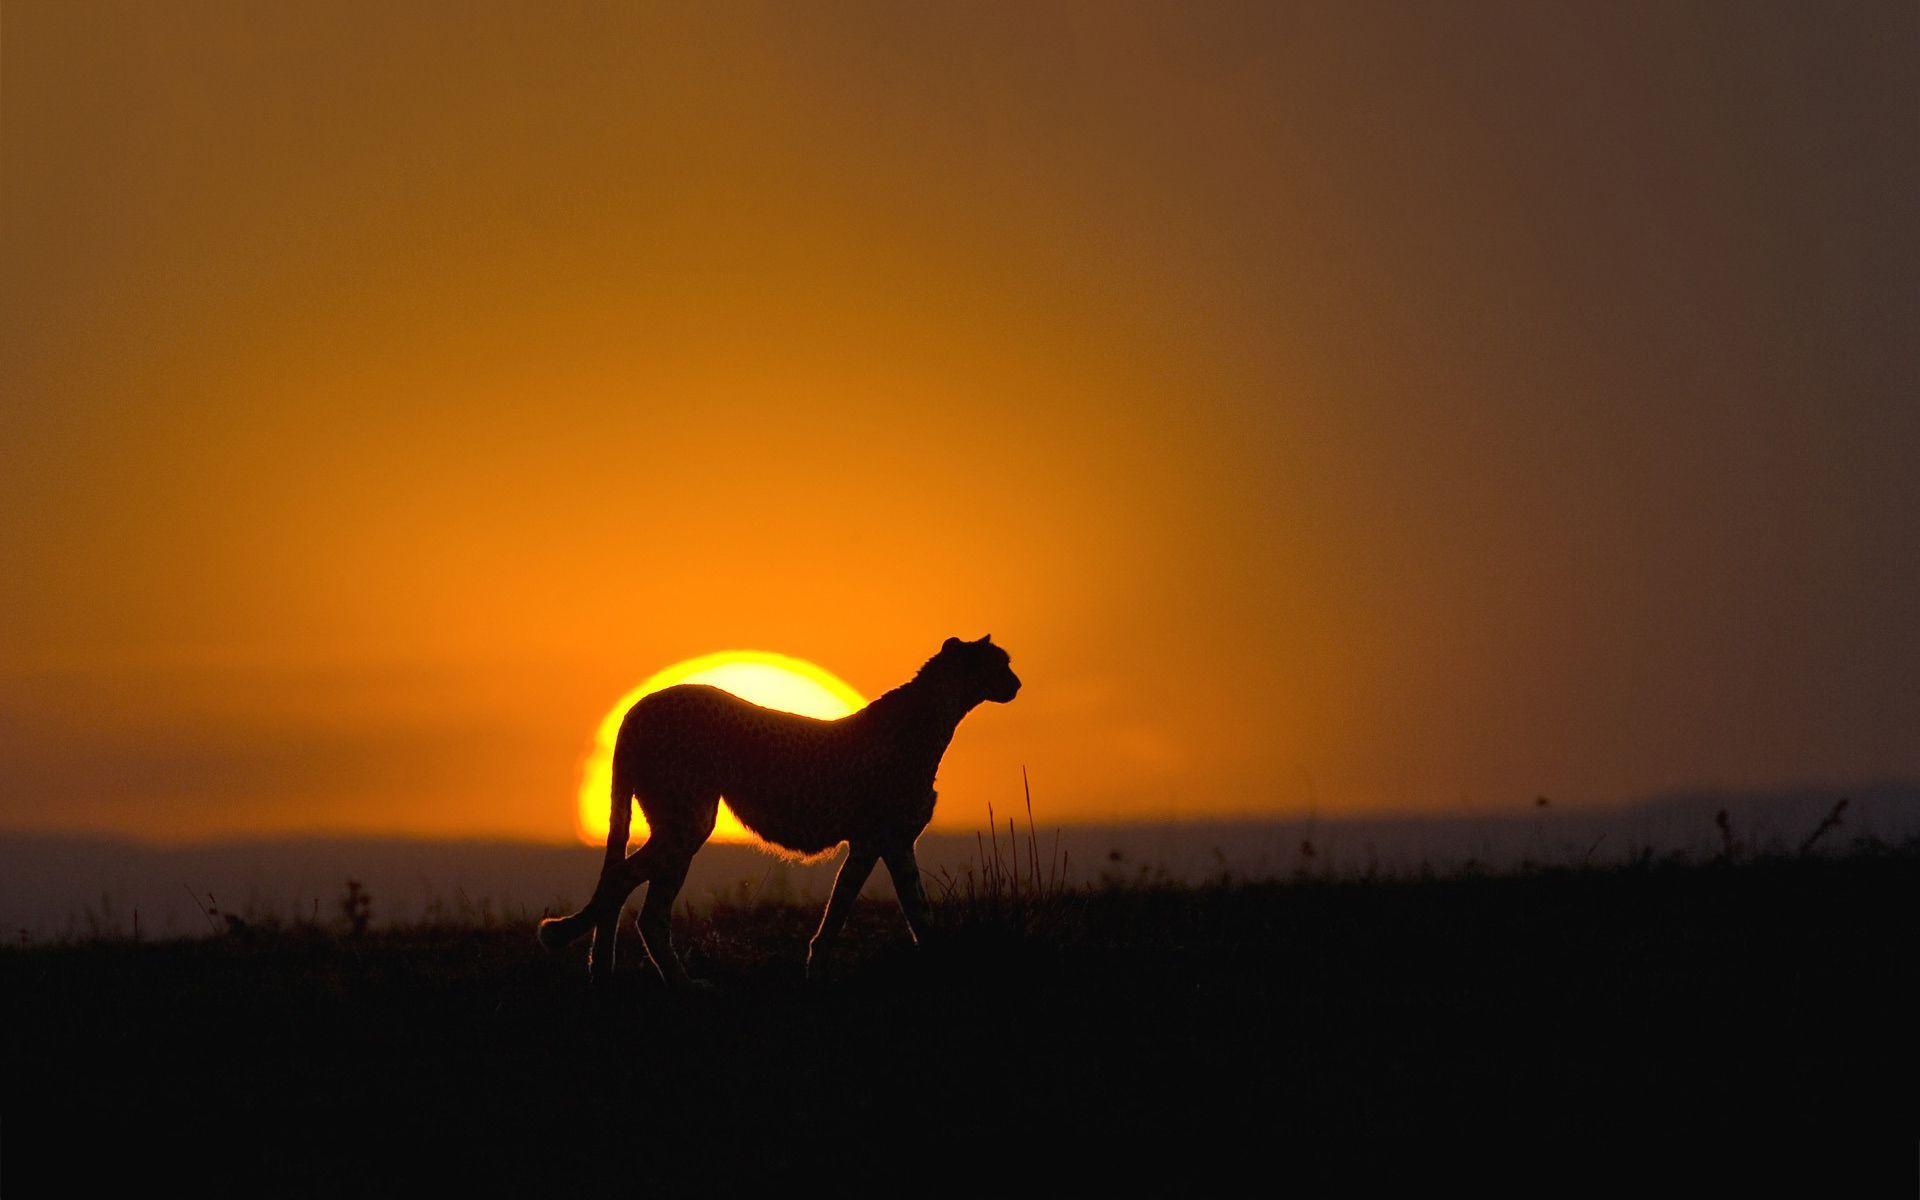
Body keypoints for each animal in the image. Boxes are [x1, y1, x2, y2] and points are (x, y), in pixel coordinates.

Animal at [536, 635, 1020, 986]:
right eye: (999, 663)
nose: (1016, 684)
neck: (936, 715)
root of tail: (641, 704)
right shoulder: (879, 839)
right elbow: (858, 906)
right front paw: (820, 968)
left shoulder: (886, 842)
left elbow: (901, 907)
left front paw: (931, 960)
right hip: (687, 822)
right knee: (633, 890)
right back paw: (679, 983)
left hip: (673, 823)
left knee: (632, 892)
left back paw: (608, 972)